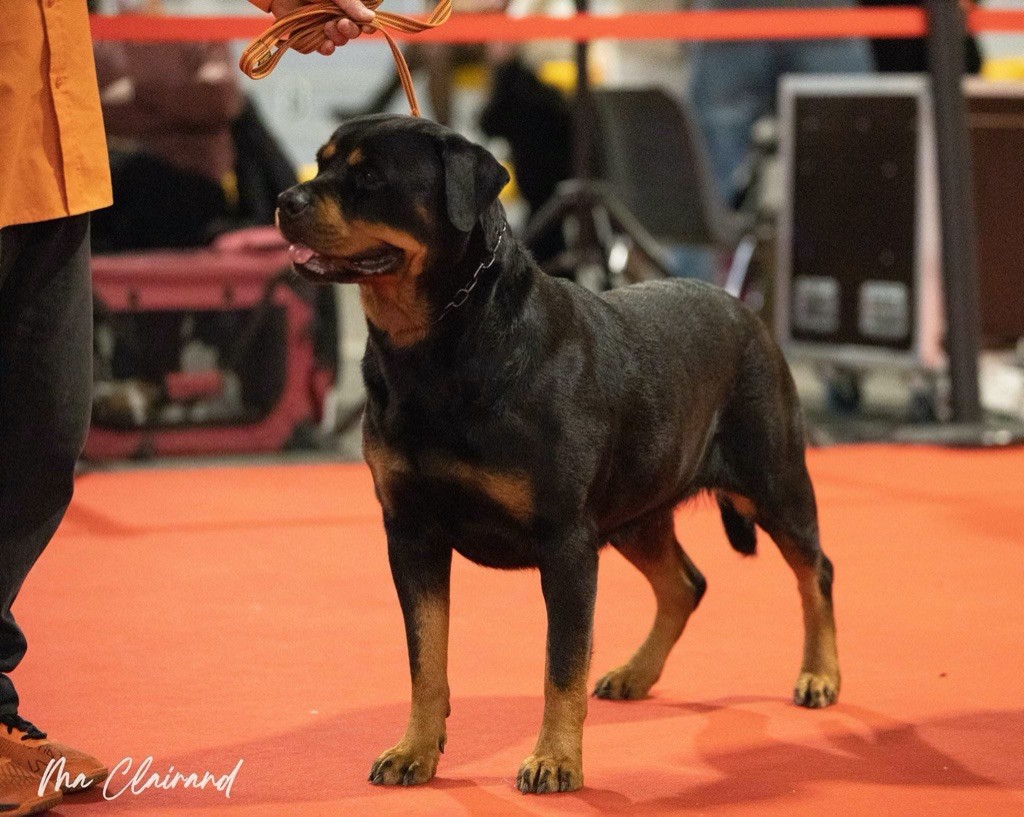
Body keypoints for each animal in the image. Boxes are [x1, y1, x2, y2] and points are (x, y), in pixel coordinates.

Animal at [276, 115, 835, 794]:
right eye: (322, 162)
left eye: (371, 177)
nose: (286, 201)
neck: (437, 345)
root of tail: (748, 311)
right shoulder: (410, 531)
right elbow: (425, 655)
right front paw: (414, 750)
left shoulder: (566, 540)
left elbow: (561, 663)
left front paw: (555, 760)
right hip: (633, 513)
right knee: (685, 582)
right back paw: (635, 673)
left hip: (774, 480)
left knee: (814, 571)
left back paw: (820, 676)